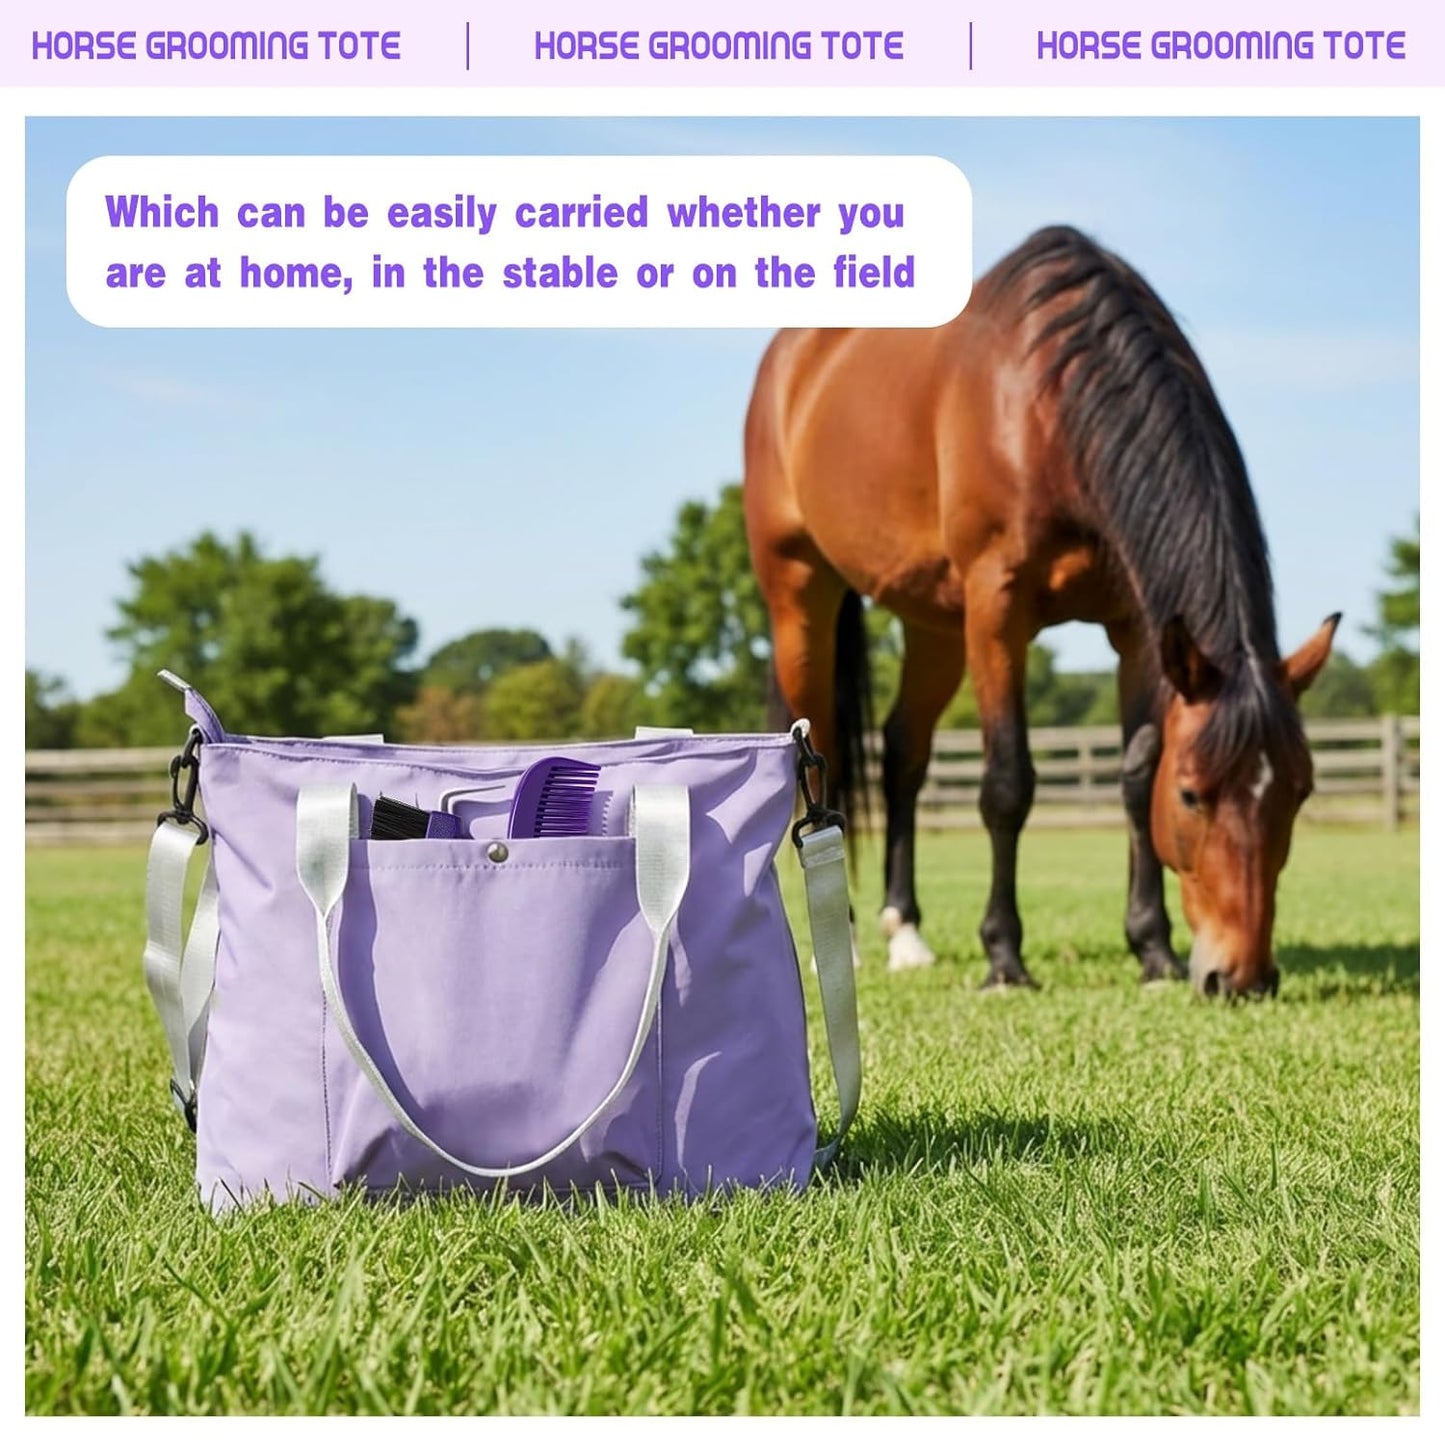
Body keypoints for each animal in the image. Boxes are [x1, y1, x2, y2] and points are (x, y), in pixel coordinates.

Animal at [743, 225, 1339, 998]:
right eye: (1190, 796)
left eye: (1299, 792)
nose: (1241, 978)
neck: (1043, 406)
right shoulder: (997, 607)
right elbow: (1008, 783)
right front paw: (1004, 956)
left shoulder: (1136, 630)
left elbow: (1132, 777)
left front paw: (1153, 950)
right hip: (801, 594)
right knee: (825, 750)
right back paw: (838, 943)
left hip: (933, 623)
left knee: (904, 753)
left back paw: (904, 932)